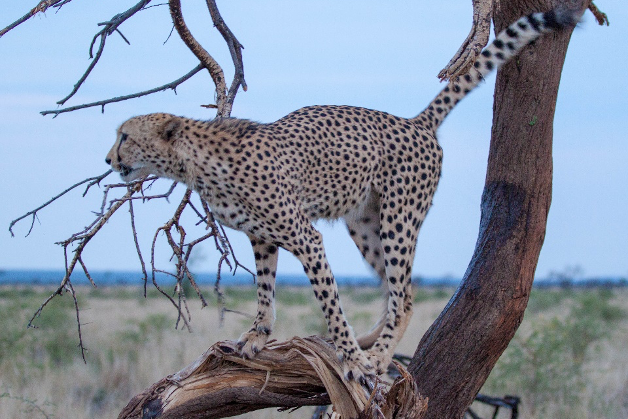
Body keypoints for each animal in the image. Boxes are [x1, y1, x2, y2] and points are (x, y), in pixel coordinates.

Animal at [104, 9, 580, 384]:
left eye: (125, 136)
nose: (109, 158)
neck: (197, 163)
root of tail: (415, 121)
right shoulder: (262, 238)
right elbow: (264, 288)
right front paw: (259, 335)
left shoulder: (305, 237)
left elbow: (329, 302)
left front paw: (350, 361)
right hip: (365, 225)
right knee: (393, 289)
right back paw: (372, 340)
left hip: (398, 219)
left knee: (405, 295)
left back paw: (377, 357)